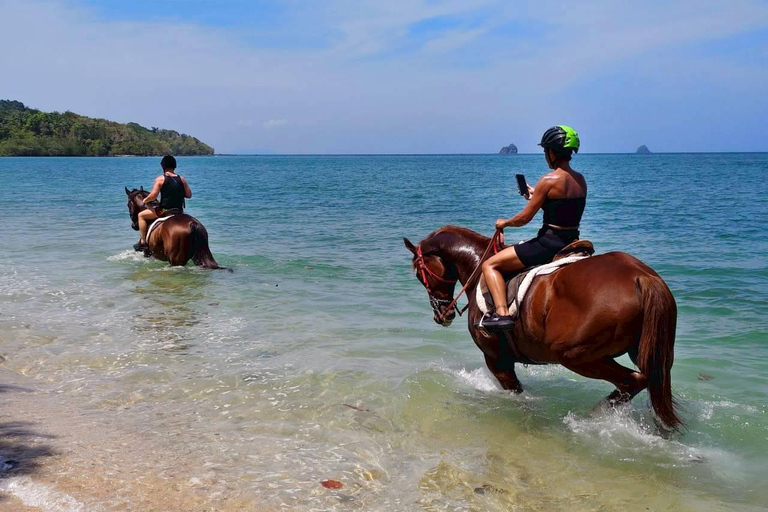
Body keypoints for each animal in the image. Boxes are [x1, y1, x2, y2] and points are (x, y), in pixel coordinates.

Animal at [403, 225, 682, 430]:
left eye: (419, 273)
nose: (442, 314)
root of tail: (641, 276)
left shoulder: (497, 359)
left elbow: (516, 393)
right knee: (646, 380)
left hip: (575, 356)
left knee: (633, 380)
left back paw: (594, 415)